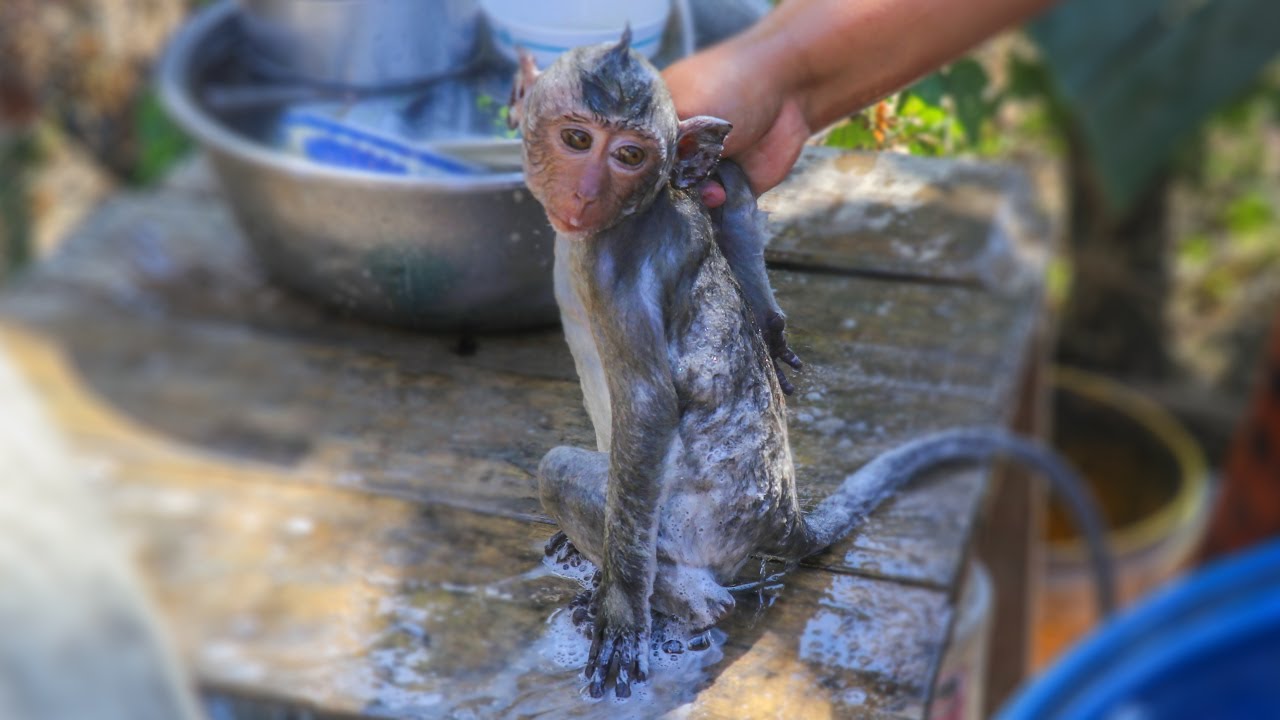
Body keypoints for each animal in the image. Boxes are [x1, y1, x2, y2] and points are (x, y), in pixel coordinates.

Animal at [511, 32, 1113, 699]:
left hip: (693, 528)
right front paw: (770, 328)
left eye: (628, 156)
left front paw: (623, 610)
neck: (629, 217)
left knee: (561, 472)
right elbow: (734, 197)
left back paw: (687, 602)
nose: (585, 192)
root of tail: (784, 517)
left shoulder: (616, 273)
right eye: (577, 139)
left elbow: (648, 409)